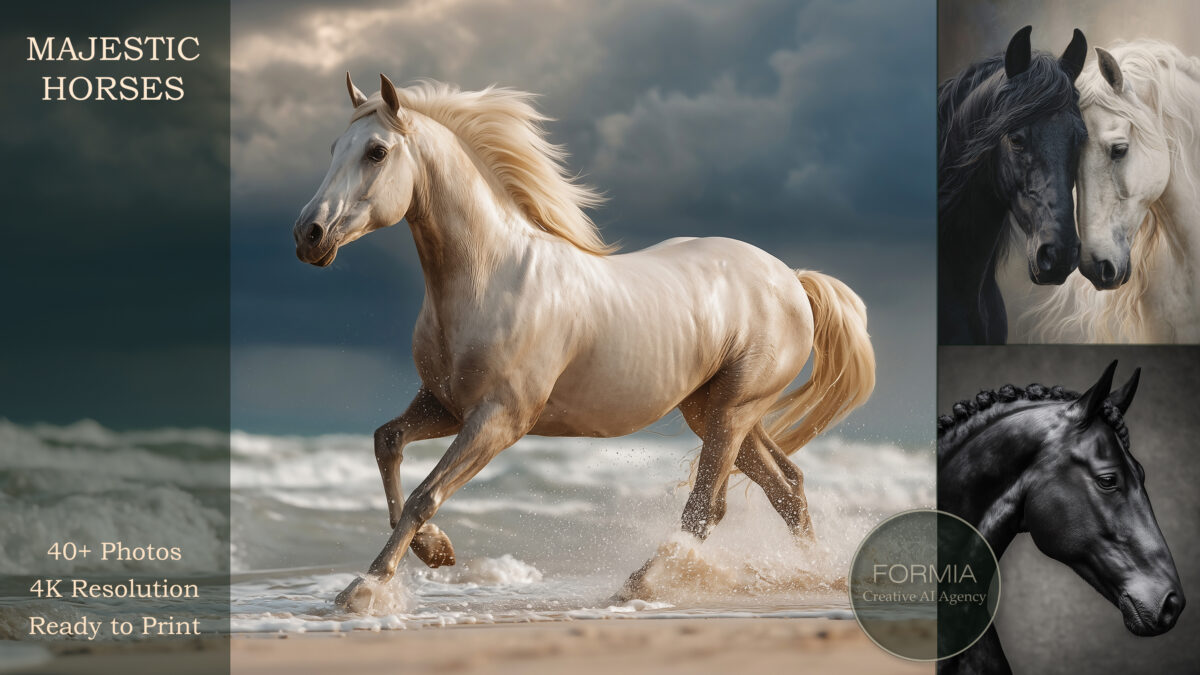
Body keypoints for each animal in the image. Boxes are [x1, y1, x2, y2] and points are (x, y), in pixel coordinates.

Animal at [291, 74, 876, 612]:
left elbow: (424, 494)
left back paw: (641, 585)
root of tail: (791, 279)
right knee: (788, 488)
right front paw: (437, 552)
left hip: (733, 410)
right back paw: (814, 576)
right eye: (332, 148)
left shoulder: (500, 418)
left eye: (376, 151)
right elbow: (386, 441)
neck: (491, 278)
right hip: (713, 410)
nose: (308, 235)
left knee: (706, 509)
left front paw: (364, 588)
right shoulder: (444, 405)